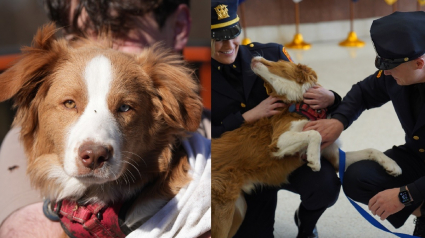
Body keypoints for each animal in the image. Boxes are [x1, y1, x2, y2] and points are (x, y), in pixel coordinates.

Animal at [211, 56, 400, 238]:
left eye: (279, 61)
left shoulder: (335, 158)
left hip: (238, 210)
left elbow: (371, 149)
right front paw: (314, 159)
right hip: (223, 213)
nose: (252, 59)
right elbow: (315, 133)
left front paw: (393, 165)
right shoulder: (278, 141)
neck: (300, 102)